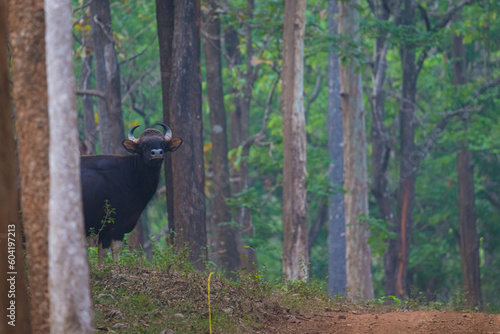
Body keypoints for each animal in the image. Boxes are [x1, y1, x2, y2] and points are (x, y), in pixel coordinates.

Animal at [81, 122, 183, 266]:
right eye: (144, 145)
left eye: (163, 144)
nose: (157, 153)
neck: (131, 175)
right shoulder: (117, 220)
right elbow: (116, 247)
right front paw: (116, 267)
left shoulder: (105, 227)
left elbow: (102, 252)